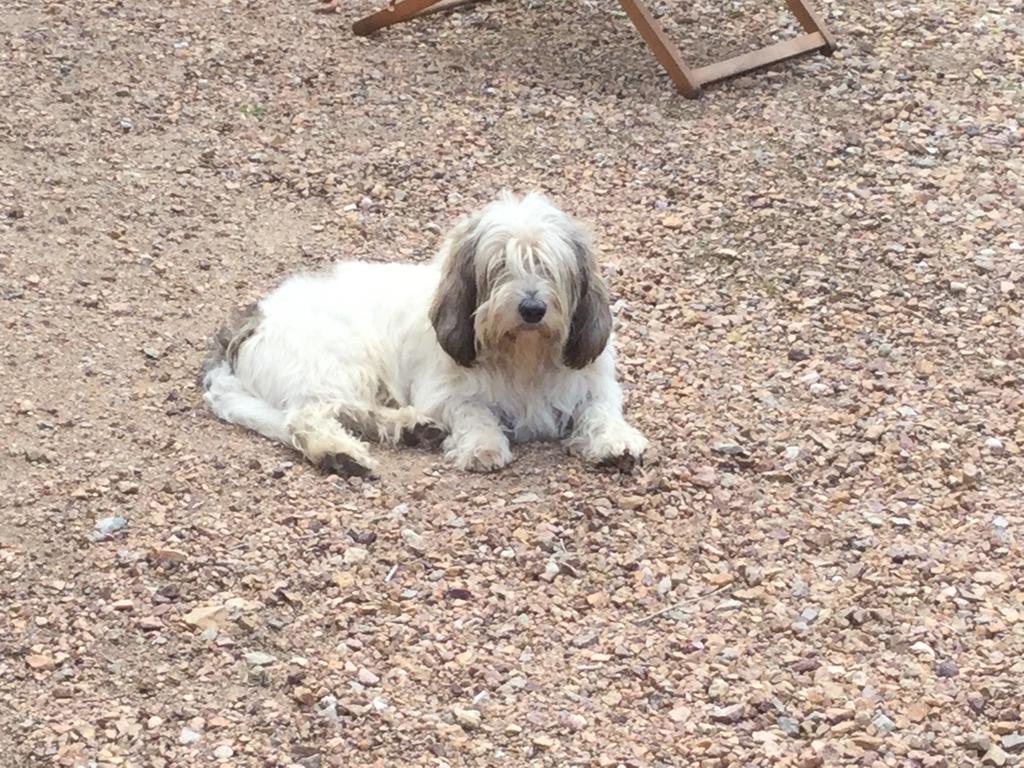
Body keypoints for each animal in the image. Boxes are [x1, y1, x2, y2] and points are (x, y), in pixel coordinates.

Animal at [200, 192, 647, 475]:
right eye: (500, 265)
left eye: (548, 266)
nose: (532, 309)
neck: (524, 355)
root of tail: (252, 321)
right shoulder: (446, 395)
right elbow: (474, 412)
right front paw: (482, 446)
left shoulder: (593, 384)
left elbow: (601, 410)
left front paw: (617, 442)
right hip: (340, 362)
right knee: (307, 418)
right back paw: (340, 452)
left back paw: (410, 426)